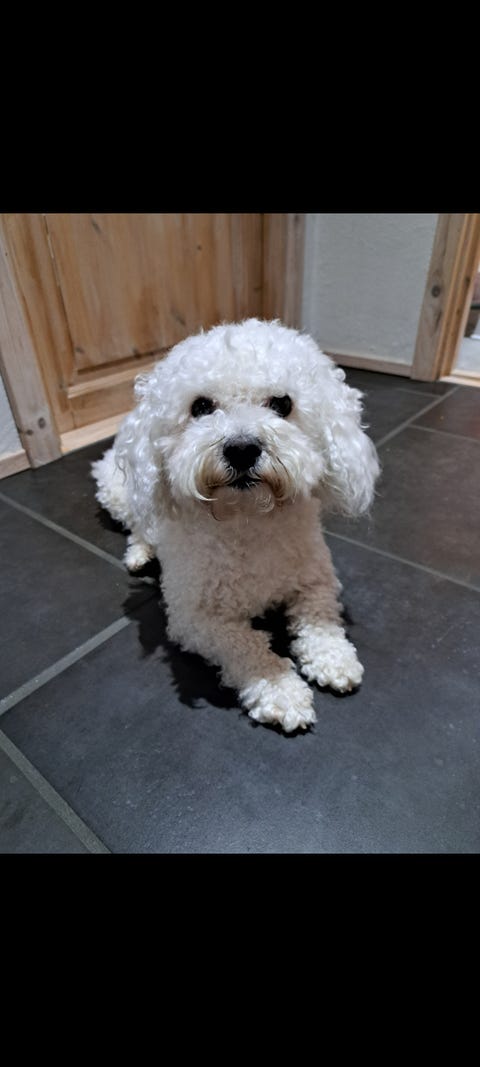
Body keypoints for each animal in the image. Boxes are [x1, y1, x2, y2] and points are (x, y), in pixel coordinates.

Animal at [92, 318, 379, 732]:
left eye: (282, 404)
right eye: (201, 407)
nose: (242, 449)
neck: (247, 520)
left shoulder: (316, 582)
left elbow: (321, 620)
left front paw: (334, 658)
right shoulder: (194, 617)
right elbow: (245, 645)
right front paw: (280, 689)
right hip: (118, 491)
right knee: (138, 524)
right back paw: (140, 554)